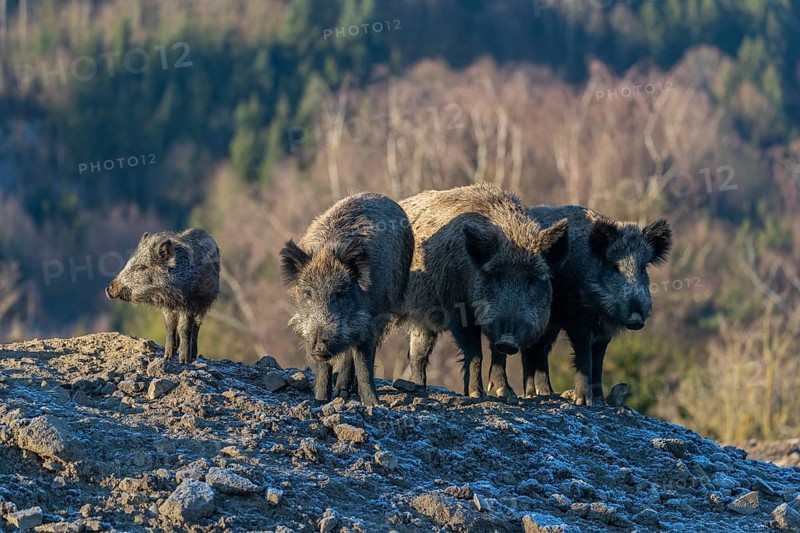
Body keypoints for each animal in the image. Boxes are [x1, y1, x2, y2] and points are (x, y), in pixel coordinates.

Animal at [106, 228, 220, 364]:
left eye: (141, 267)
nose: (108, 289)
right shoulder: (167, 306)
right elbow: (169, 328)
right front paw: (167, 357)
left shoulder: (188, 304)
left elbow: (184, 329)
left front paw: (183, 361)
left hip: (204, 304)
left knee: (196, 327)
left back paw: (192, 357)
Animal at [280, 192, 414, 406]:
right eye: (307, 293)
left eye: (341, 293)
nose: (320, 346)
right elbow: (323, 368)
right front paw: (320, 400)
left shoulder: (369, 320)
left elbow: (363, 362)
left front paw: (373, 404)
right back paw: (340, 393)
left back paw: (346, 392)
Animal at [399, 184, 569, 400]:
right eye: (495, 276)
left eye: (532, 279)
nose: (508, 341)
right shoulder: (457, 310)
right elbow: (474, 353)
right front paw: (475, 394)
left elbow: (499, 355)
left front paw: (507, 394)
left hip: (423, 320)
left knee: (418, 352)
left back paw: (418, 386)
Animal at [522, 205, 672, 406]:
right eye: (615, 267)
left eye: (642, 268)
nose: (636, 320)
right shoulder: (577, 323)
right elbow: (585, 359)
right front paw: (583, 402)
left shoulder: (604, 333)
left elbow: (599, 363)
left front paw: (600, 401)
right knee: (528, 348)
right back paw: (531, 394)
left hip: (551, 325)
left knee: (542, 348)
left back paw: (547, 393)